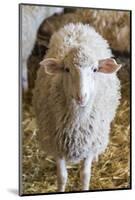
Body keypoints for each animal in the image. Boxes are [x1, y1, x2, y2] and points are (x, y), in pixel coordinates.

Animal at [32, 22, 121, 191]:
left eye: (94, 69)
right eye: (67, 69)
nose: (81, 97)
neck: (77, 125)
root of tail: (78, 26)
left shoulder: (89, 145)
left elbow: (85, 175)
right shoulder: (57, 146)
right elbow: (62, 177)